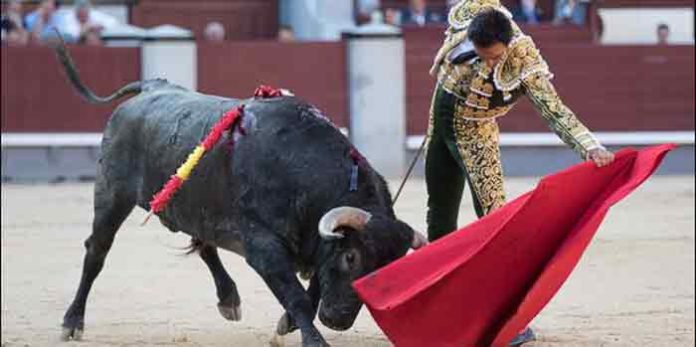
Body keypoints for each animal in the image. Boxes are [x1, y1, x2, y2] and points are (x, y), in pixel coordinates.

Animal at [54, 43, 426, 346]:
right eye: (351, 257)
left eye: (390, 266)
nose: (339, 320)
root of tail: (152, 87)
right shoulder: (263, 247)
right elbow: (298, 296)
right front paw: (312, 338)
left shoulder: (313, 243)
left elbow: (314, 284)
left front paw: (287, 324)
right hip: (112, 194)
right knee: (97, 251)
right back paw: (72, 322)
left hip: (195, 203)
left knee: (203, 242)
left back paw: (228, 299)